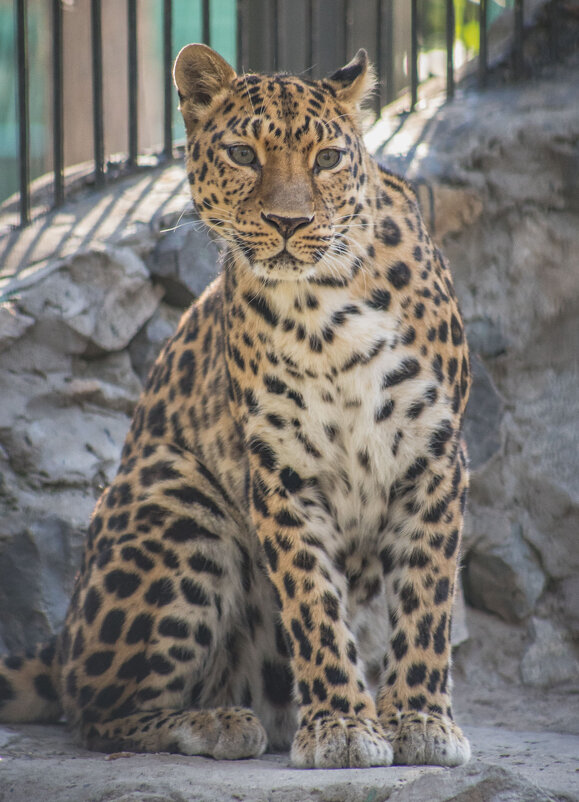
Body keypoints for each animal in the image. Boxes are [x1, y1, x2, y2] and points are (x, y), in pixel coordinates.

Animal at [0, 43, 472, 768]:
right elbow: (313, 600)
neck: (323, 306)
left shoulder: (434, 452)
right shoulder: (281, 469)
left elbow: (426, 596)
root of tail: (61, 640)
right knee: (94, 708)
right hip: (177, 494)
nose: (289, 223)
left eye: (326, 159)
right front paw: (341, 726)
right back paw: (217, 721)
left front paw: (418, 720)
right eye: (244, 154)